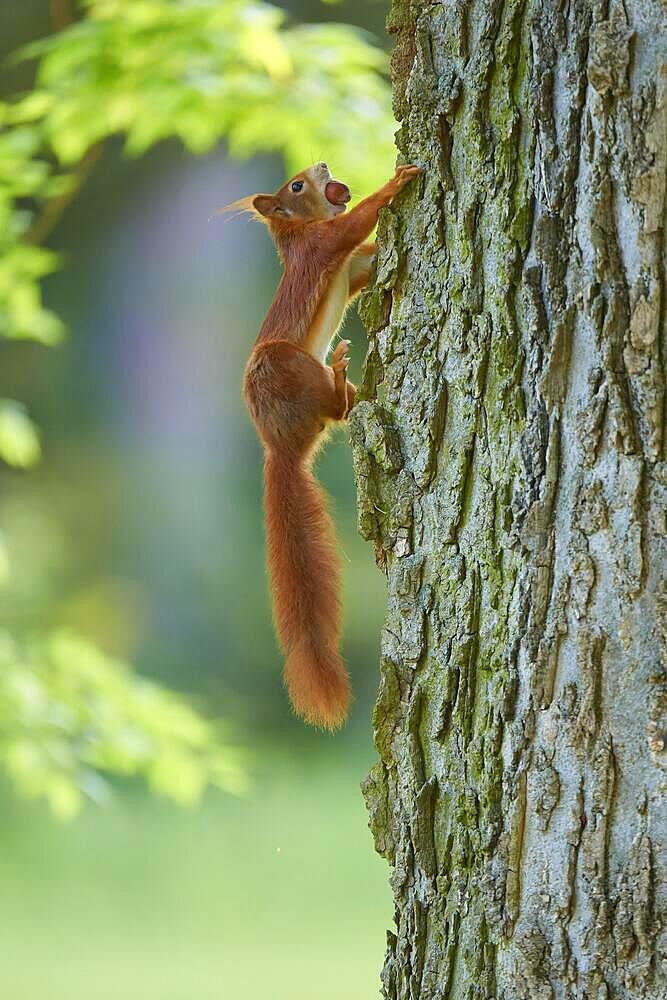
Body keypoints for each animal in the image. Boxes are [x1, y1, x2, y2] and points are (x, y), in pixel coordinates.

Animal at [232, 160, 422, 732]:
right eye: (296, 185)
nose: (322, 167)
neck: (297, 234)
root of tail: (281, 449)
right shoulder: (323, 247)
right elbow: (353, 224)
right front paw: (396, 181)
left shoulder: (353, 268)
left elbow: (369, 259)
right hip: (282, 366)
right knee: (333, 408)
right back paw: (338, 378)